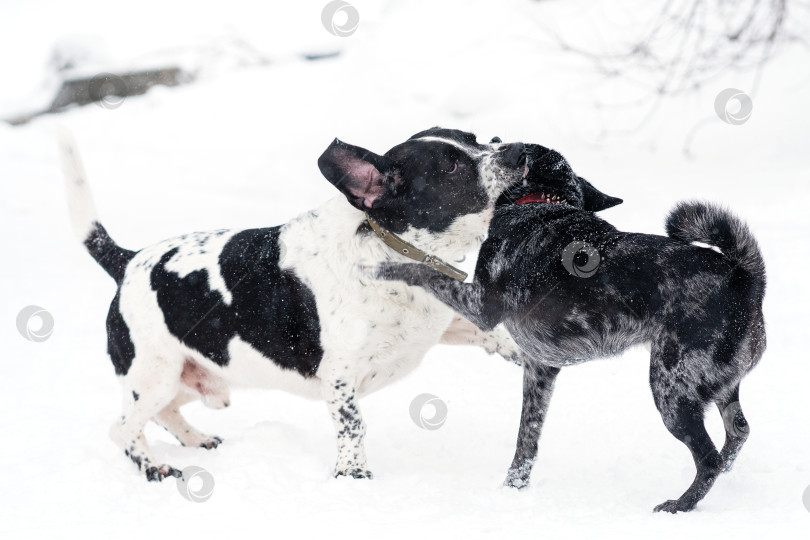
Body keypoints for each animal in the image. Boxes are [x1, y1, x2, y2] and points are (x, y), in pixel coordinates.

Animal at [63, 127, 532, 480]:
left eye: (477, 137)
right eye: (451, 166)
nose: (519, 149)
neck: (389, 247)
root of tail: (128, 260)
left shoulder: (437, 325)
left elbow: (490, 334)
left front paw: (519, 352)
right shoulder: (340, 378)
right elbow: (353, 425)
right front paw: (353, 476)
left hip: (193, 380)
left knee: (163, 414)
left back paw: (197, 439)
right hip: (154, 375)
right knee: (121, 429)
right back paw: (153, 467)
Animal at [372, 142, 764, 510]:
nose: (497, 143)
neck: (541, 202)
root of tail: (744, 279)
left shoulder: (482, 306)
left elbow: (428, 271)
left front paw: (388, 267)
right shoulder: (540, 370)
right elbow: (525, 443)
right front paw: (512, 490)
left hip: (672, 390)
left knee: (708, 458)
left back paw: (680, 505)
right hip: (719, 386)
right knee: (738, 432)